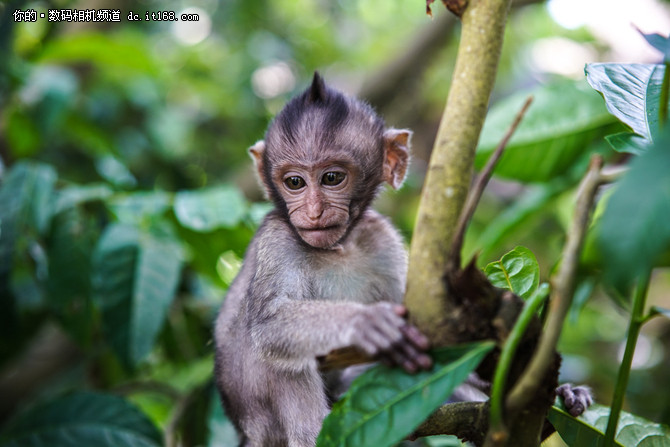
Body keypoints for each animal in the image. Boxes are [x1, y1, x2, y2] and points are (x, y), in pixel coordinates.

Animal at [217, 72, 436, 446]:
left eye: (332, 178)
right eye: (294, 182)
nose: (313, 211)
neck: (338, 247)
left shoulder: (382, 239)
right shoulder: (277, 236)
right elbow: (270, 322)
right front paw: (364, 322)